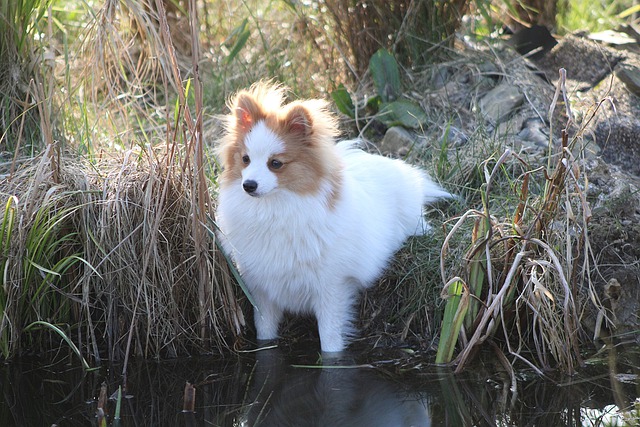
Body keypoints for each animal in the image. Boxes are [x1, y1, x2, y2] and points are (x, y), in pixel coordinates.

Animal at [215, 83, 450, 354]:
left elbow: (330, 339)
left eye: (275, 164)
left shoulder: (331, 288)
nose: (249, 185)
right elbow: (265, 334)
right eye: (245, 159)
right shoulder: (263, 292)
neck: (275, 209)